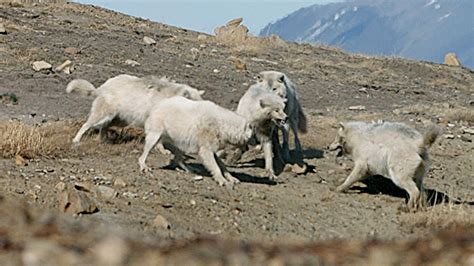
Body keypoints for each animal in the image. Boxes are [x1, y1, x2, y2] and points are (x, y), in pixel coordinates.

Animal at [65, 74, 204, 144]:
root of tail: (102, 86)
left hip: (120, 120)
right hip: (103, 113)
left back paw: (102, 140)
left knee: (104, 127)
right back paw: (76, 140)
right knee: (87, 125)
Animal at [137, 95, 286, 187]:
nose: (266, 139)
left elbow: (223, 166)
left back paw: (189, 169)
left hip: (180, 144)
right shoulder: (206, 151)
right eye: (255, 133)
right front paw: (222, 181)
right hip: (154, 137)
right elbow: (217, 168)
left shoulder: (213, 150)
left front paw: (231, 178)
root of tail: (157, 104)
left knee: (178, 158)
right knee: (143, 155)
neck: (223, 125)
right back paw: (144, 167)